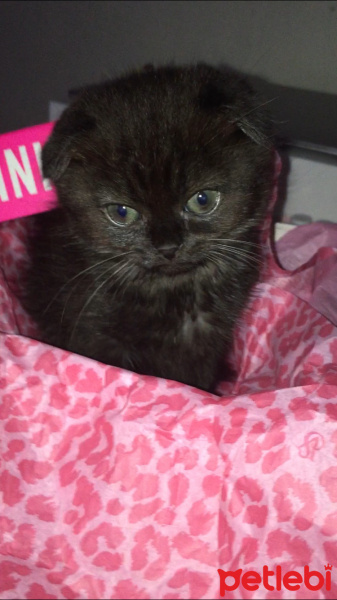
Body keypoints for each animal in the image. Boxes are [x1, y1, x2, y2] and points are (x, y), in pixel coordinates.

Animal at [25, 63, 274, 392]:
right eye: (121, 212)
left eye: (203, 199)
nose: (168, 247)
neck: (174, 292)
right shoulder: (91, 334)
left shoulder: (208, 344)